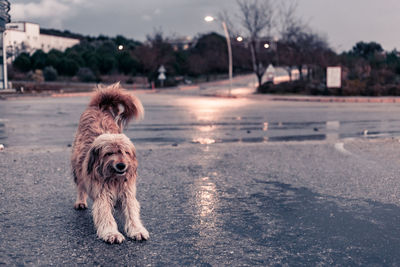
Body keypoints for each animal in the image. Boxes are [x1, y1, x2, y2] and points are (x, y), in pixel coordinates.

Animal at [70, 84, 148, 245]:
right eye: (109, 153)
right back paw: (80, 201)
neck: (114, 178)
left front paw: (137, 230)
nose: (121, 166)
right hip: (76, 164)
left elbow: (131, 212)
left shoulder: (127, 192)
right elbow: (105, 214)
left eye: (125, 152)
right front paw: (112, 233)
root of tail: (98, 106)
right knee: (80, 185)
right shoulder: (102, 194)